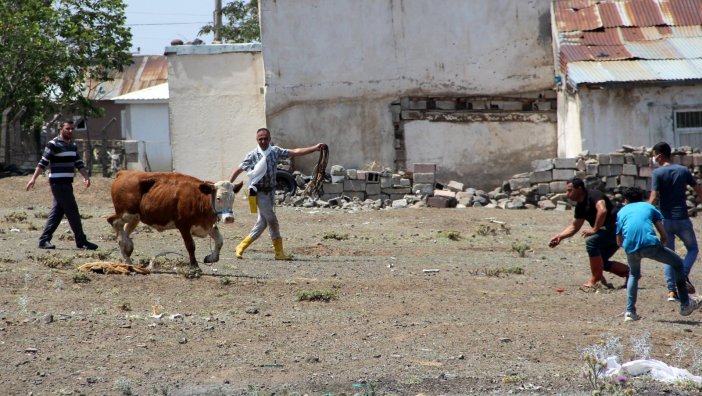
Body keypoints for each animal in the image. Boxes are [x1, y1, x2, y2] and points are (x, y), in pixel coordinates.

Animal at [107, 170, 245, 270]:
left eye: (233, 198)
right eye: (218, 198)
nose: (229, 218)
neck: (200, 198)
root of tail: (124, 173)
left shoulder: (207, 225)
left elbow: (219, 241)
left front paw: (211, 258)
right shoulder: (184, 225)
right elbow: (190, 246)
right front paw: (195, 266)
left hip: (134, 218)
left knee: (123, 232)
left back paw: (127, 258)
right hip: (126, 213)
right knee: (113, 221)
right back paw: (127, 247)